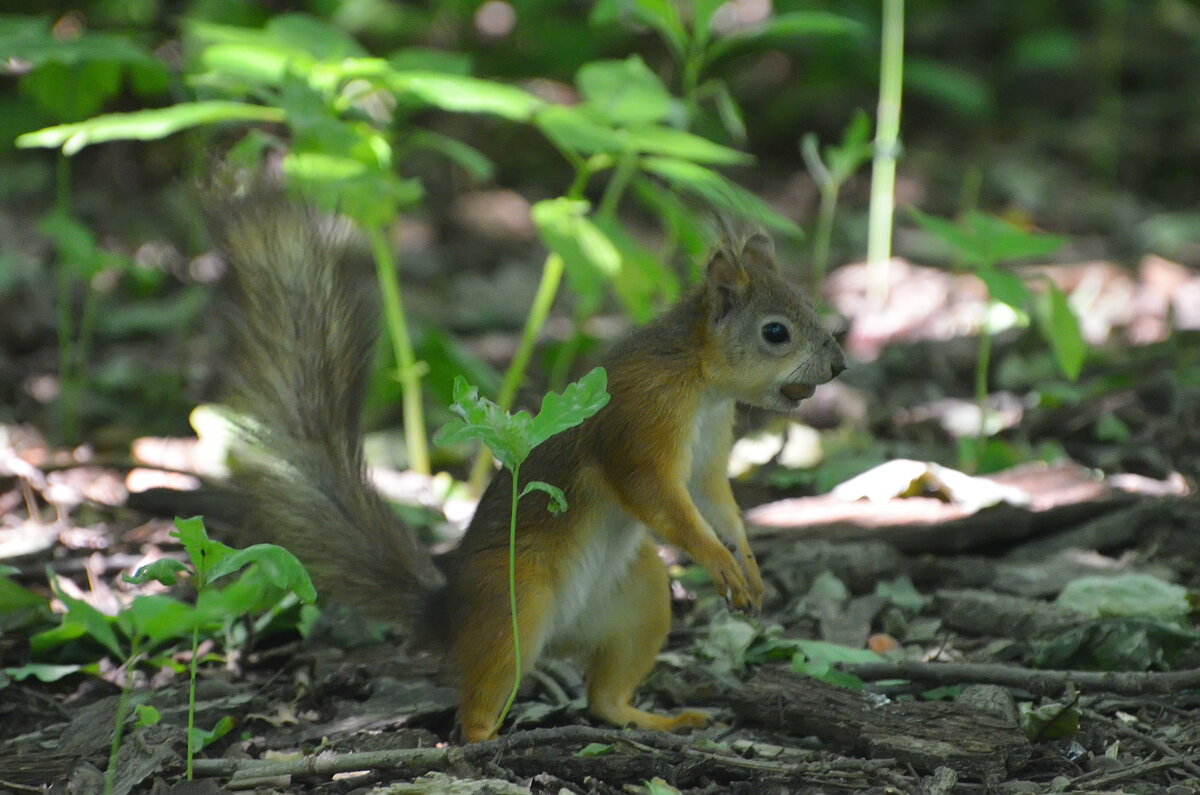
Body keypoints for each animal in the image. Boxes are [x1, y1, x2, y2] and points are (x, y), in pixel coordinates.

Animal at [216, 195, 849, 744]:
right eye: (775, 331)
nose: (841, 365)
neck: (699, 380)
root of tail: (451, 615)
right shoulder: (641, 423)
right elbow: (658, 495)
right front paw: (718, 560)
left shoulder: (712, 447)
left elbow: (717, 500)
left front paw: (750, 568)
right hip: (512, 604)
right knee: (478, 702)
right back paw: (489, 739)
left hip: (641, 601)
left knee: (605, 699)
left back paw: (654, 720)